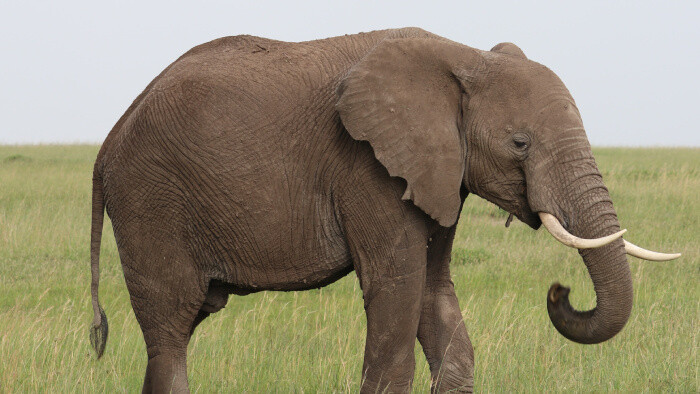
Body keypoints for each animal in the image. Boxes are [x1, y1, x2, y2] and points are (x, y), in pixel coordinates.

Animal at [87, 28, 680, 394]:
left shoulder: (438, 172)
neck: (463, 57)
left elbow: (435, 296)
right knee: (171, 330)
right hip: (149, 202)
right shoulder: (367, 167)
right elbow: (396, 290)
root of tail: (109, 140)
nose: (560, 291)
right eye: (519, 144)